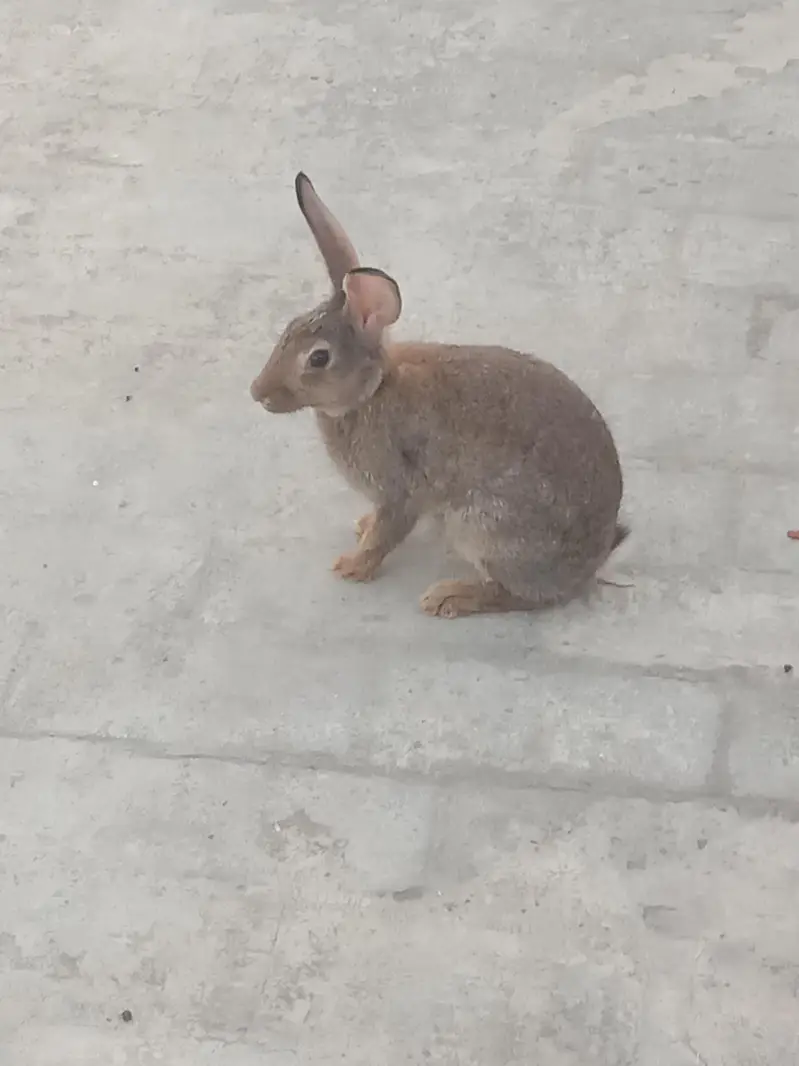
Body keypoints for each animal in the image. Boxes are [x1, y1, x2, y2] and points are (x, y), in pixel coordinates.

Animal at [250, 172, 628, 619]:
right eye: (288, 328)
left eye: (319, 358)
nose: (257, 393)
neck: (372, 392)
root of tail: (591, 560)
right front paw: (362, 527)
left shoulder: (399, 488)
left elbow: (387, 535)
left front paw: (352, 566)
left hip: (486, 529)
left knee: (516, 595)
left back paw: (449, 596)